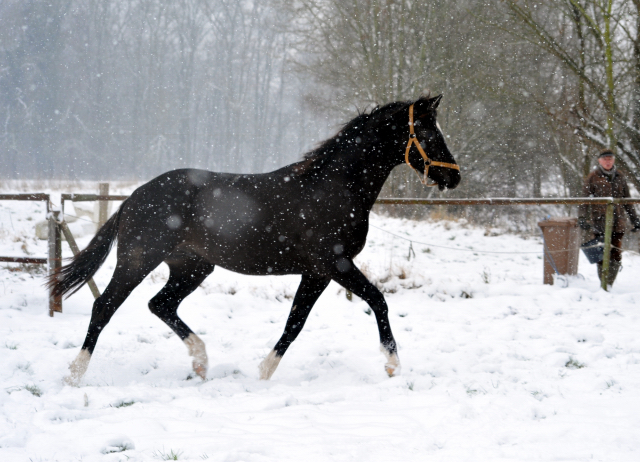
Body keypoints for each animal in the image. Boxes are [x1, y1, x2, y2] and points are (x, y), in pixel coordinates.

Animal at [50, 93, 460, 382]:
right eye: (428, 134)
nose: (454, 176)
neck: (334, 188)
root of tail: (133, 197)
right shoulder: (335, 264)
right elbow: (378, 301)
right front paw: (392, 365)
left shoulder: (318, 272)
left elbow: (295, 322)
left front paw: (263, 371)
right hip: (139, 259)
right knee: (104, 306)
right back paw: (74, 374)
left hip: (193, 267)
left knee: (160, 304)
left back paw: (201, 362)